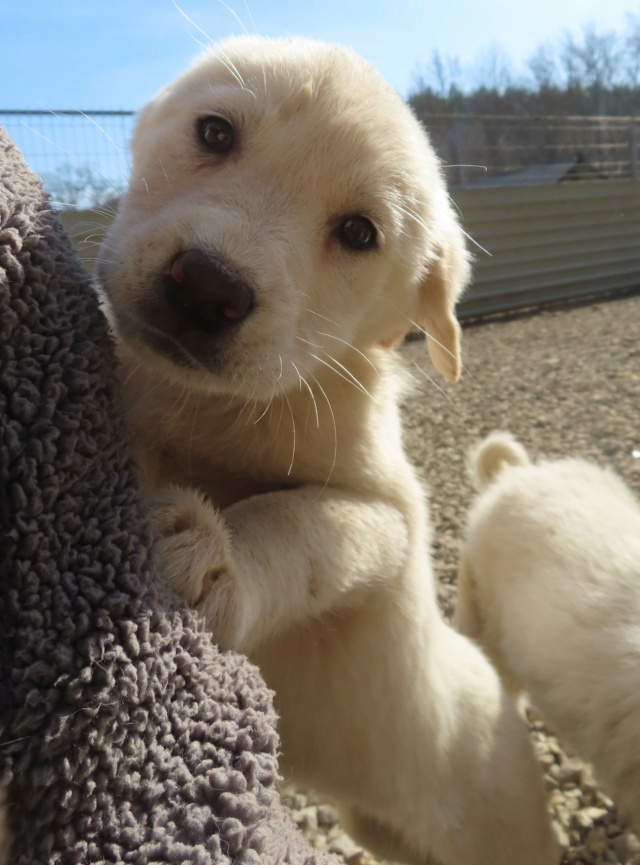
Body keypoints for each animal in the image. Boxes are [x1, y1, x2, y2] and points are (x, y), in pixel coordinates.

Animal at [97, 37, 556, 864]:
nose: (207, 286)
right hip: (376, 827)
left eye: (358, 233)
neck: (212, 408)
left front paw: (217, 554)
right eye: (215, 132)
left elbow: (303, 523)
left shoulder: (389, 516)